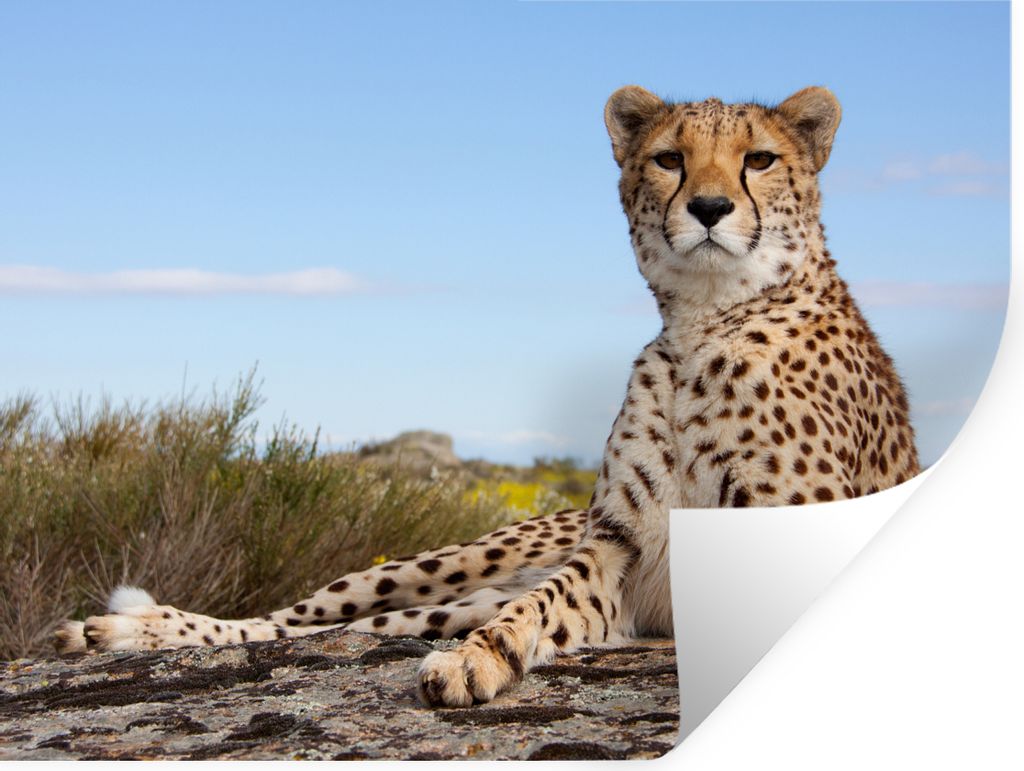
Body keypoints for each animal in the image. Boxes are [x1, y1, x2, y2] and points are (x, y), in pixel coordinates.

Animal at [53, 85, 919, 708]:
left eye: (760, 159)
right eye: (671, 159)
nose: (709, 208)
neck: (706, 321)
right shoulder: (618, 552)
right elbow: (537, 609)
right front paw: (476, 662)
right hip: (445, 566)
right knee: (290, 619)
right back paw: (129, 629)